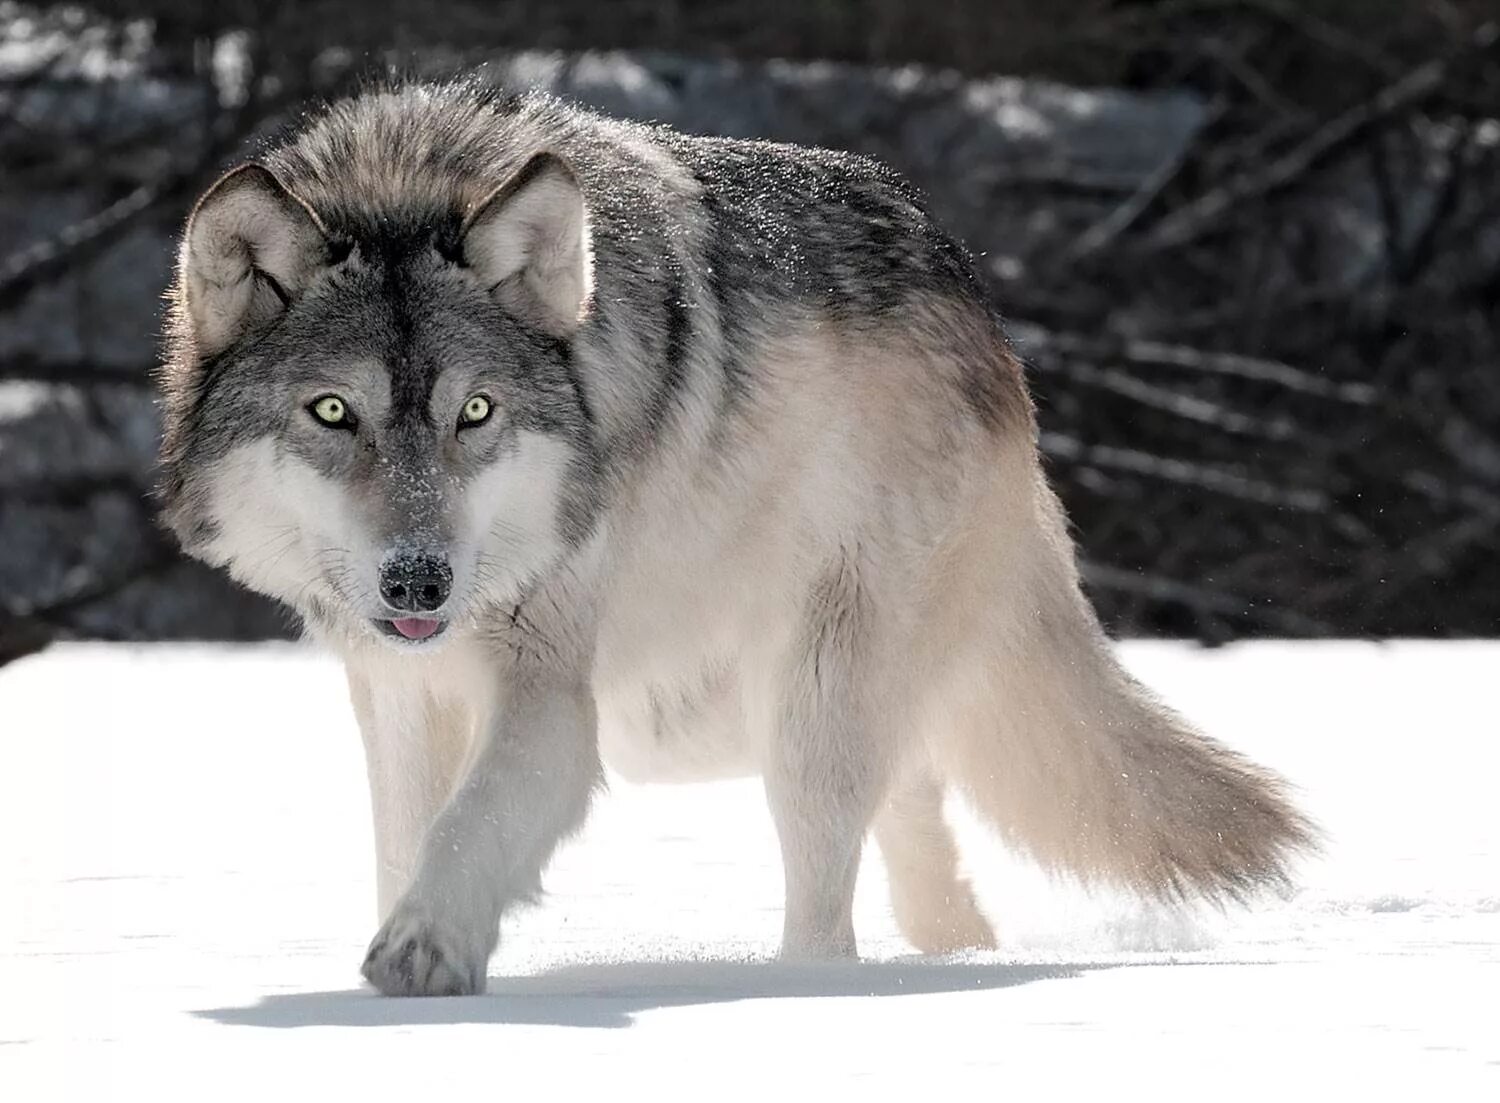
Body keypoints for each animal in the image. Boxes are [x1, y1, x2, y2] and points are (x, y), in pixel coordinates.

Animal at [158, 75, 1320, 990]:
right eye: (333, 412)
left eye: (475, 412)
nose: (419, 583)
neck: (407, 177)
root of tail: (987, 320)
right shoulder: (401, 691)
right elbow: (410, 836)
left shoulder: (549, 693)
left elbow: (469, 824)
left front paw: (422, 950)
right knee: (917, 819)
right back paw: (951, 954)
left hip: (800, 702)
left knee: (831, 899)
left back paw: (808, 992)